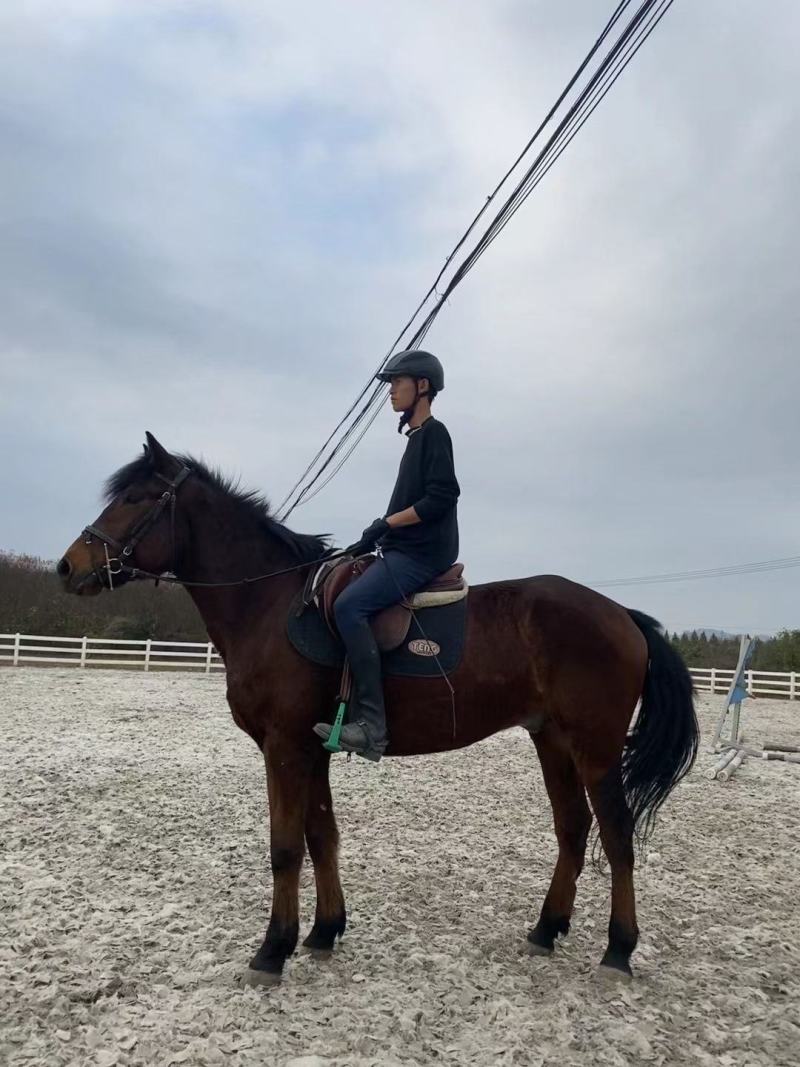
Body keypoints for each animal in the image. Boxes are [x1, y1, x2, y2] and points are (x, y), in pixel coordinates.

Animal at [58, 431, 698, 986]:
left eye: (135, 499)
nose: (67, 567)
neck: (269, 604)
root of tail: (621, 615)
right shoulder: (311, 748)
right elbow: (322, 835)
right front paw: (322, 932)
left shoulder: (284, 747)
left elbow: (286, 848)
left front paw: (273, 950)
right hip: (552, 741)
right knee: (573, 828)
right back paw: (547, 928)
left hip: (596, 748)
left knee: (616, 835)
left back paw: (618, 948)